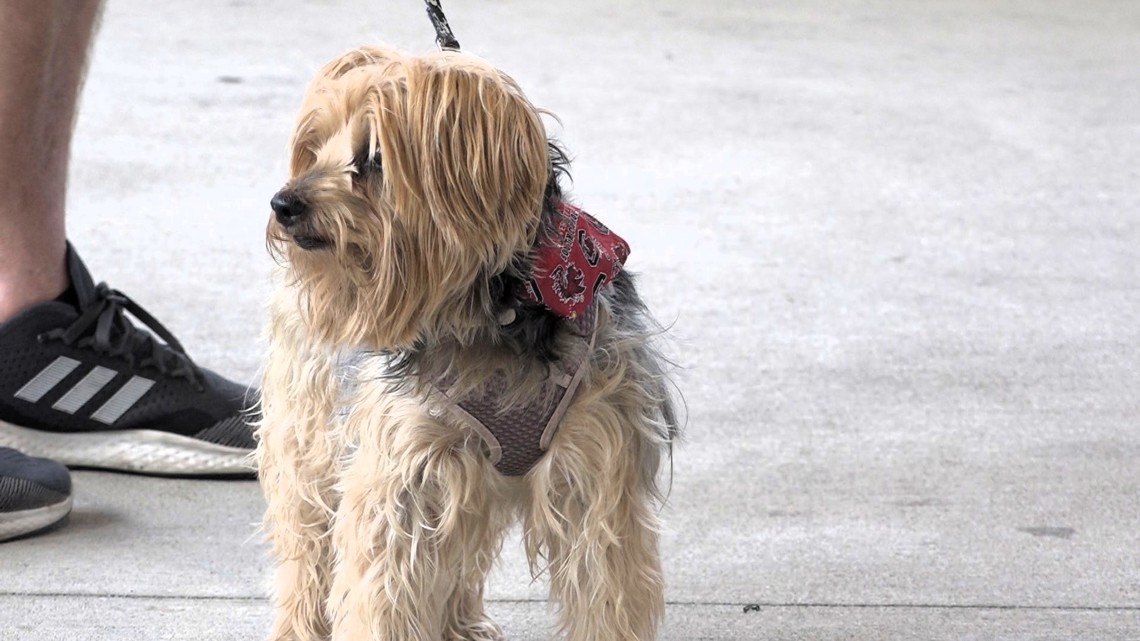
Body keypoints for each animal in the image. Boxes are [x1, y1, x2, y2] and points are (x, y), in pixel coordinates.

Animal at [258, 46, 674, 638]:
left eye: (375, 158)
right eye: (315, 148)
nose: (282, 204)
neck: (495, 309)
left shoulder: (596, 469)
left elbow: (604, 591)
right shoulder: (401, 471)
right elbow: (383, 588)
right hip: (307, 426)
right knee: (306, 539)